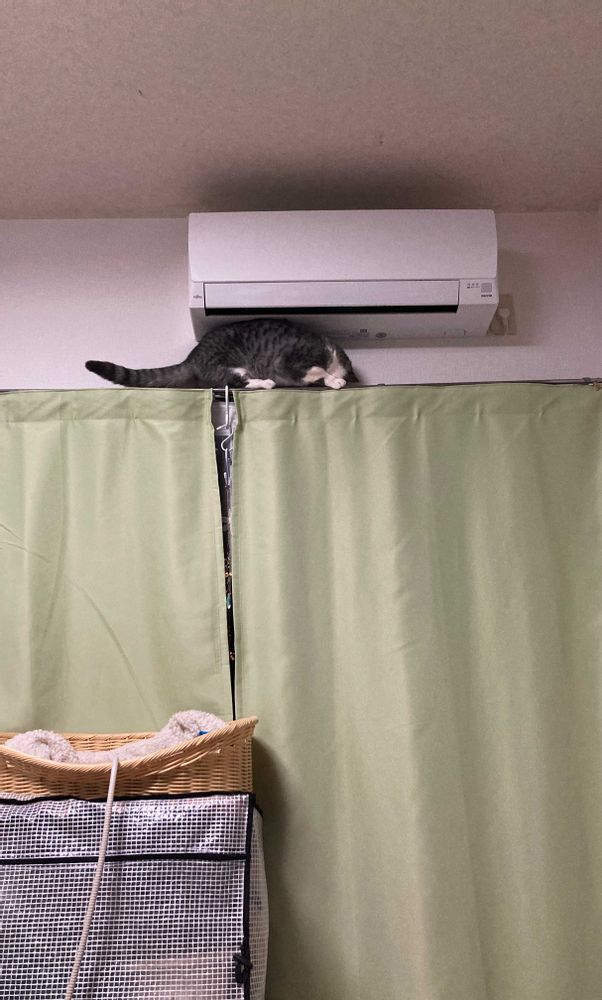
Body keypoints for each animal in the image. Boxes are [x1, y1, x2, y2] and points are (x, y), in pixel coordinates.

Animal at [85, 318, 358, 390]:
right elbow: (318, 370)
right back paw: (265, 382)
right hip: (230, 365)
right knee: (236, 380)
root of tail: (192, 357)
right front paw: (335, 380)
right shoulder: (289, 362)